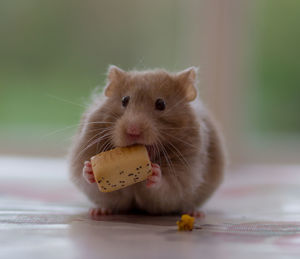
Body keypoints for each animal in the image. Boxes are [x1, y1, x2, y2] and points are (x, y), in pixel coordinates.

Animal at [68, 65, 226, 217]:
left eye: (161, 104)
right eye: (124, 100)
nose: (133, 131)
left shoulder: (184, 175)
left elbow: (167, 188)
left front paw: (155, 172)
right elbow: (97, 186)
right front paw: (89, 168)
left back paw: (195, 213)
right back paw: (98, 211)